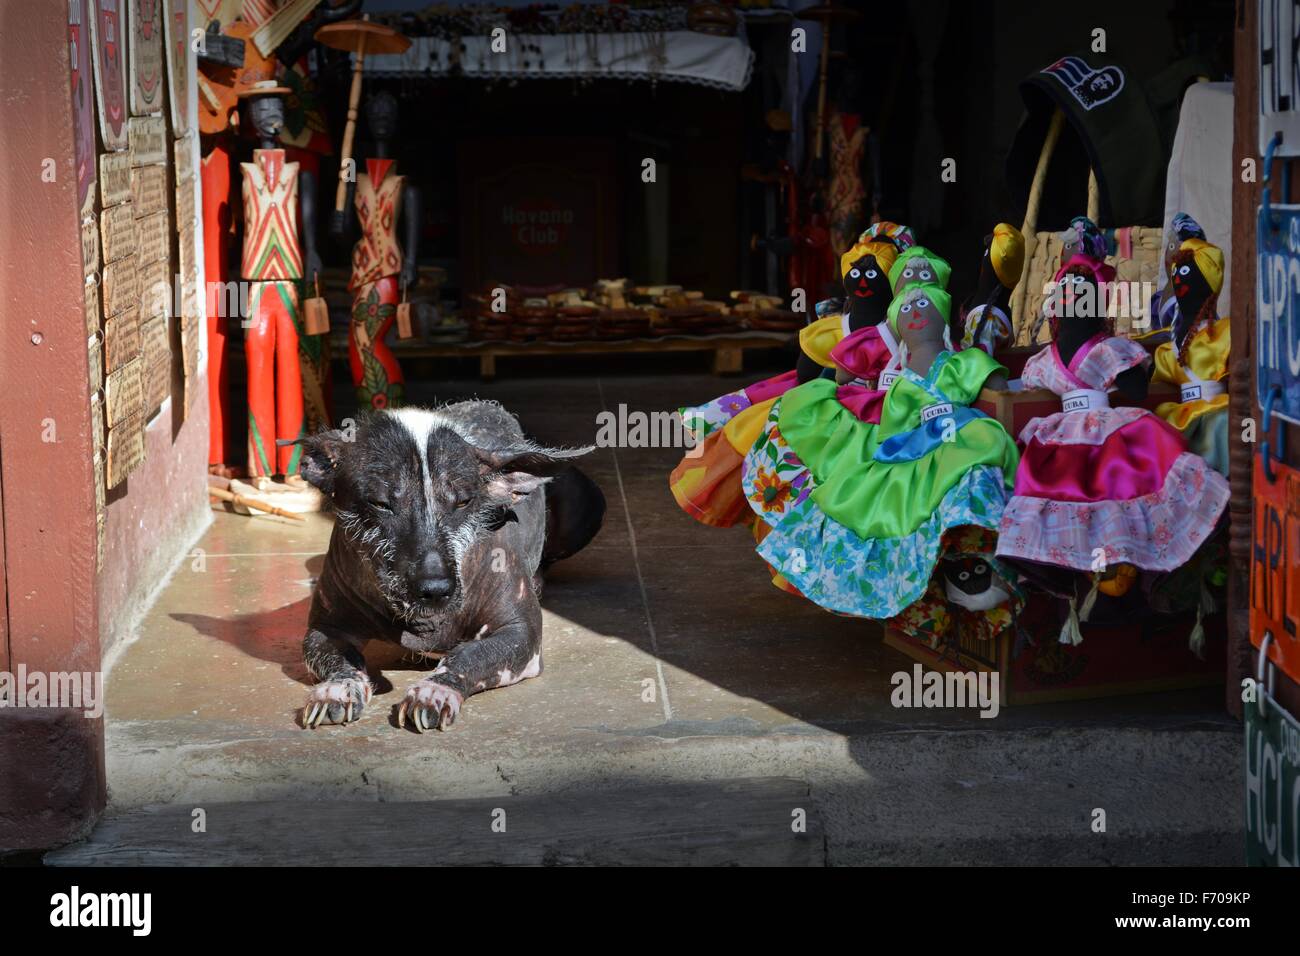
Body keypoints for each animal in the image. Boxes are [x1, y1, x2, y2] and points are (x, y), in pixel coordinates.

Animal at [289, 403, 603, 733]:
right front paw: (336, 689)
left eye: (463, 502)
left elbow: (468, 655)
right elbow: (341, 659)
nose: (436, 589)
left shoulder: (521, 634)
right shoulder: (325, 629)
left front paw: (434, 691)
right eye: (380, 503)